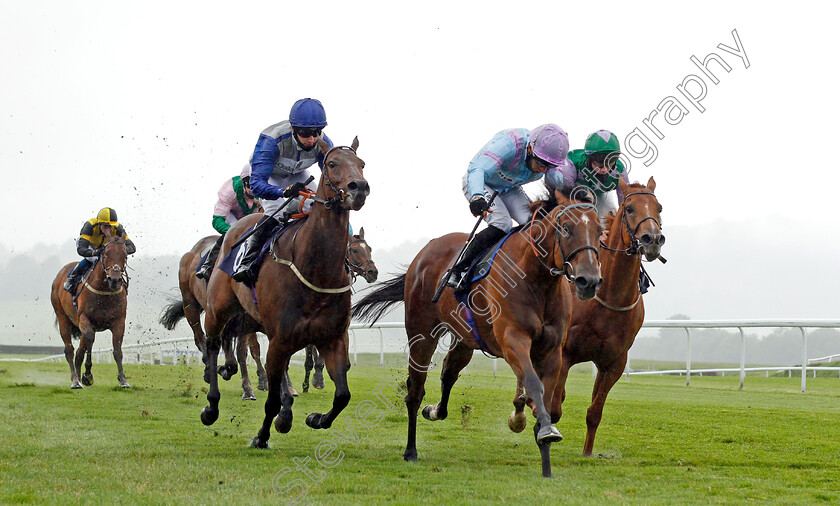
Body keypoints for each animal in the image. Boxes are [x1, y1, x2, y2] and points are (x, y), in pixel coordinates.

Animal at [51, 227, 131, 390]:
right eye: (105, 254)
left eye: (125, 255)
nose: (115, 280)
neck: (104, 291)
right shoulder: (84, 318)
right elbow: (87, 341)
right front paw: (84, 376)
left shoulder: (119, 321)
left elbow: (117, 350)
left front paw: (122, 380)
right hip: (62, 316)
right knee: (70, 349)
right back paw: (75, 380)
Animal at [200, 136, 368, 448]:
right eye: (332, 164)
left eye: (361, 163)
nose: (359, 188)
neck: (315, 268)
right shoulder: (280, 339)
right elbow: (271, 400)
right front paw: (261, 436)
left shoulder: (332, 338)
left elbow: (342, 395)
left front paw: (314, 418)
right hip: (217, 309)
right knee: (214, 345)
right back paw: (212, 405)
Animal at [352, 188, 604, 476]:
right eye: (566, 228)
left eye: (600, 231)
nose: (589, 281)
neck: (536, 279)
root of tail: (425, 252)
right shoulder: (513, 341)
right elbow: (533, 384)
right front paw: (536, 427)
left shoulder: (552, 351)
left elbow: (547, 398)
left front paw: (546, 456)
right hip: (422, 334)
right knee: (415, 390)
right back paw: (411, 450)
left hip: (465, 340)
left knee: (449, 372)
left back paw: (435, 411)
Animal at [556, 177, 668, 454]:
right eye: (629, 208)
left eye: (659, 208)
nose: (653, 239)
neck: (610, 298)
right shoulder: (565, 354)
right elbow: (554, 403)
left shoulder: (614, 363)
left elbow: (594, 412)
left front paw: (587, 453)